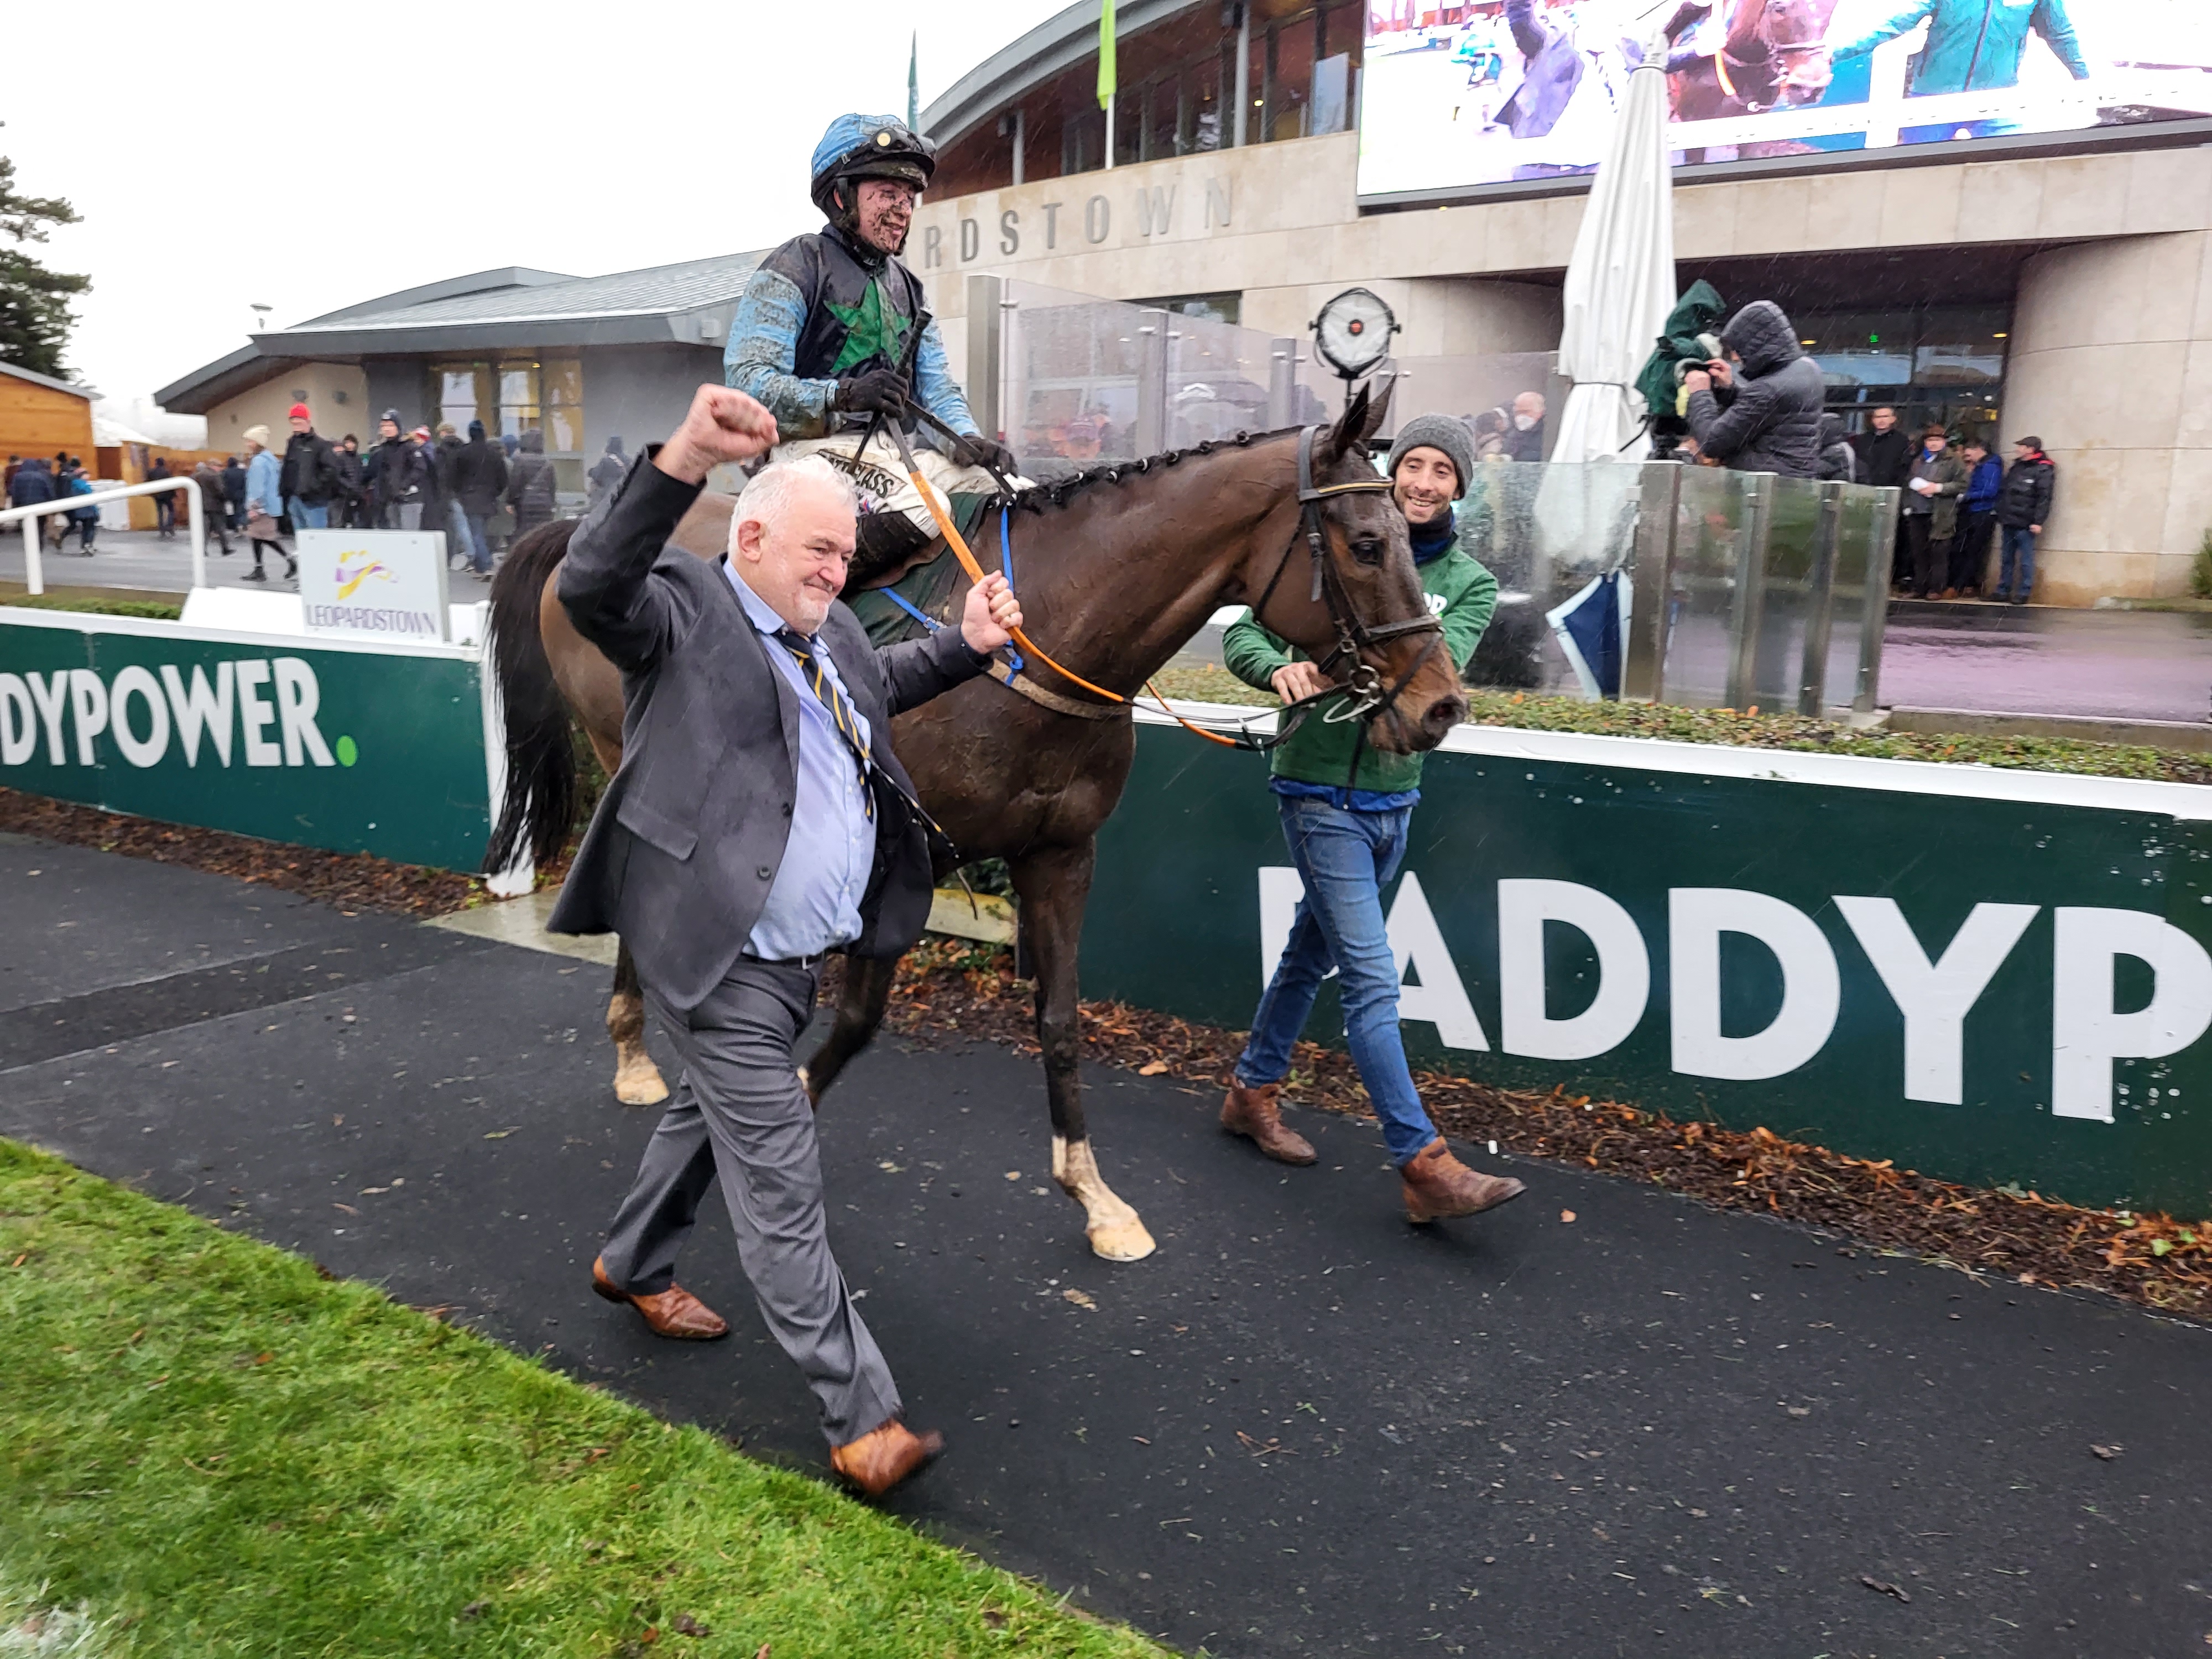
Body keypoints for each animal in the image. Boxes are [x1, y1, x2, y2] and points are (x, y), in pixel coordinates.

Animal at [480, 383, 1469, 1265]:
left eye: (1410, 535)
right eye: (1369, 543)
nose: (1442, 706)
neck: (1048, 637)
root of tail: (578, 531)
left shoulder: (1061, 854)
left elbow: (1060, 1020)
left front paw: (1094, 1196)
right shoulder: (894, 849)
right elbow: (856, 1021)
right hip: (622, 744)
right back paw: (635, 1048)